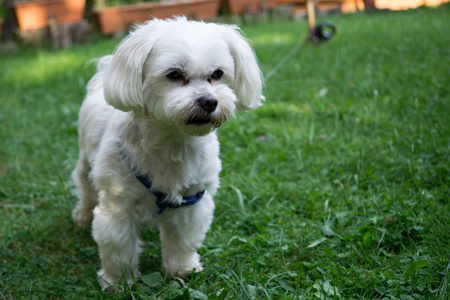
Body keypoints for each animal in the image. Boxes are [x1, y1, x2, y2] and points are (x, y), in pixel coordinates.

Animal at [71, 17, 264, 290]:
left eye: (217, 74)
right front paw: (118, 282)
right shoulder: (117, 206)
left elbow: (182, 240)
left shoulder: (192, 201)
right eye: (174, 74)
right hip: (86, 163)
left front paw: (181, 269)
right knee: (85, 188)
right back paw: (82, 215)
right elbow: (118, 246)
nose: (209, 101)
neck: (174, 143)